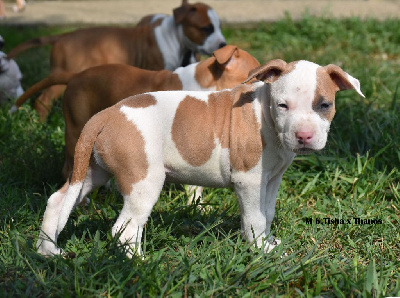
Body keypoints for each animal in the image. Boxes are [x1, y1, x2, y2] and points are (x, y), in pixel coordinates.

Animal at [7, 0, 225, 121]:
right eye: (206, 28)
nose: (223, 44)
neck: (177, 38)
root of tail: (62, 36)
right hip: (62, 75)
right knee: (42, 101)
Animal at [36, 58, 364, 256]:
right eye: (283, 105)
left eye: (324, 105)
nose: (304, 136)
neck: (264, 115)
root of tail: (106, 114)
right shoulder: (249, 181)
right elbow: (255, 218)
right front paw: (260, 251)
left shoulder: (270, 181)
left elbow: (267, 213)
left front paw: (268, 245)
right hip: (143, 181)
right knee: (124, 230)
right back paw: (139, 263)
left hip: (92, 171)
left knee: (57, 201)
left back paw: (47, 252)